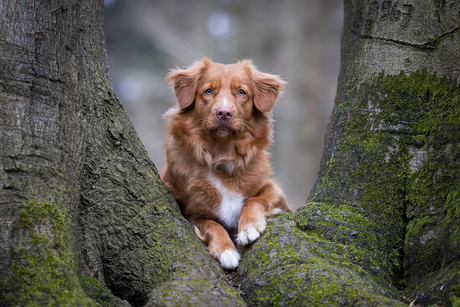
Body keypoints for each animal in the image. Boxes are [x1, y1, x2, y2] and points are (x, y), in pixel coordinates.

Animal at [162, 57, 292, 270]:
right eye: (208, 91)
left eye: (241, 92)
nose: (224, 113)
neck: (223, 154)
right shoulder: (191, 213)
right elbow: (212, 225)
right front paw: (226, 250)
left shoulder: (274, 190)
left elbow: (253, 200)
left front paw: (248, 227)